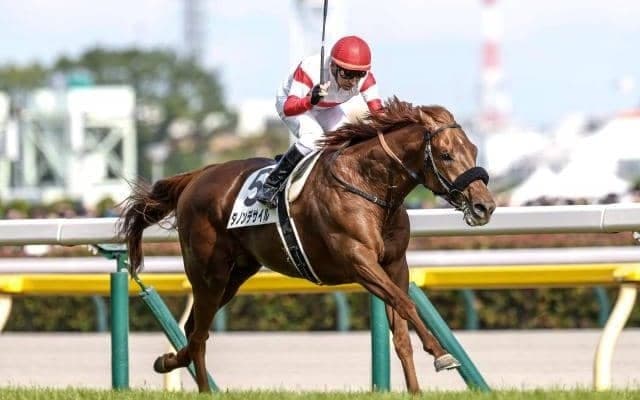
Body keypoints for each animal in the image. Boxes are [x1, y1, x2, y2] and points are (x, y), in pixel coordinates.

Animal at [118, 97, 496, 393]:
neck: (367, 185)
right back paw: (204, 389)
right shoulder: (358, 261)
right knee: (199, 334)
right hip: (208, 273)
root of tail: (197, 176)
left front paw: (416, 389)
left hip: (235, 275)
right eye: (445, 155)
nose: (485, 206)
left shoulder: (394, 265)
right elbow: (406, 304)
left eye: (473, 149)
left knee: (195, 328)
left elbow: (401, 330)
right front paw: (441, 354)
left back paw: (168, 361)